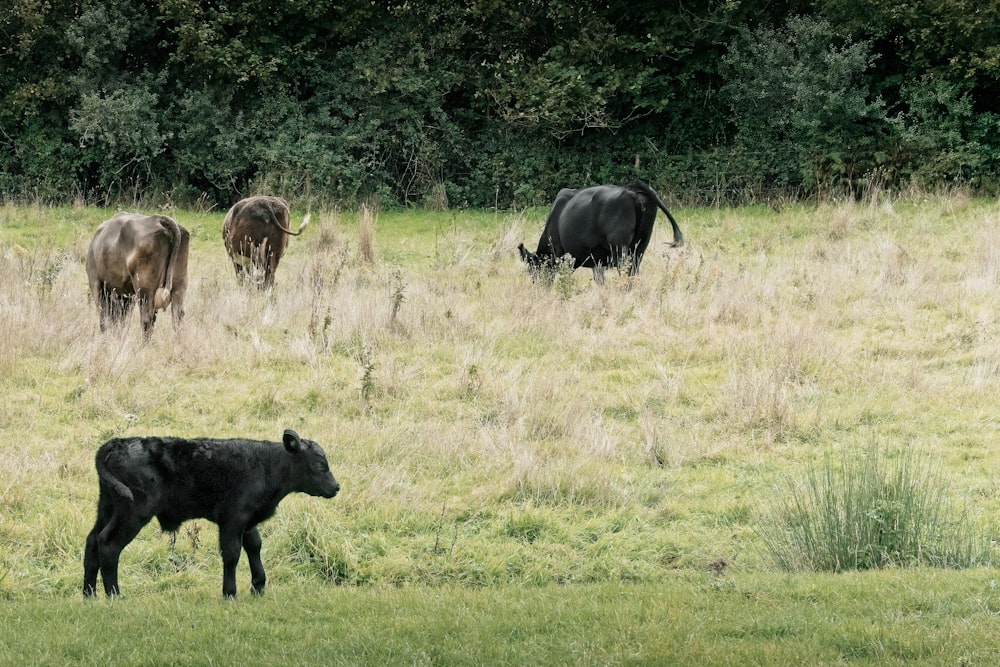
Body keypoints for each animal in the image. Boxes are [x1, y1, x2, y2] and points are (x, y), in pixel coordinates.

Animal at [84, 430, 340, 604]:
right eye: (319, 465)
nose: (336, 487)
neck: (265, 465)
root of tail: (119, 443)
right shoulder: (232, 520)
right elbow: (232, 554)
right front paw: (230, 593)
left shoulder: (248, 522)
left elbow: (254, 546)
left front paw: (258, 587)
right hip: (133, 513)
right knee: (108, 544)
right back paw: (114, 595)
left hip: (106, 508)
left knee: (92, 542)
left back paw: (89, 594)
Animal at [520, 183, 684, 284]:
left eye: (532, 270)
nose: (539, 288)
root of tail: (630, 190)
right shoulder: (596, 260)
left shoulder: (565, 257)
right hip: (640, 246)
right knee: (633, 272)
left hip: (620, 248)